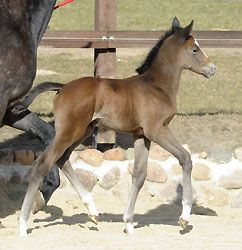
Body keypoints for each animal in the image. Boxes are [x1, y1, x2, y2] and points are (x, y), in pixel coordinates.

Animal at [18, 17, 216, 236]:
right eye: (195, 49)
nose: (212, 69)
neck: (157, 85)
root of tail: (62, 87)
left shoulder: (141, 135)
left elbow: (139, 174)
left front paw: (128, 222)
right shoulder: (158, 130)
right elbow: (185, 158)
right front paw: (184, 217)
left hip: (83, 131)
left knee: (62, 159)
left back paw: (92, 211)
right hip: (69, 132)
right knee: (42, 164)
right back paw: (23, 224)